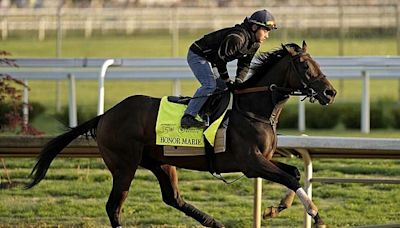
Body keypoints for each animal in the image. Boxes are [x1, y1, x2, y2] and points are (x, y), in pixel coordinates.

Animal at [26, 41, 336, 228]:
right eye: (306, 66)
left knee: (172, 197)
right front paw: (315, 213)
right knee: (114, 206)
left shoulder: (264, 159)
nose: (330, 92)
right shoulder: (250, 163)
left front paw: (276, 208)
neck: (253, 109)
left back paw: (214, 222)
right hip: (124, 164)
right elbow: (288, 177)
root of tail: (106, 115)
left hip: (160, 162)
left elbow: (294, 172)